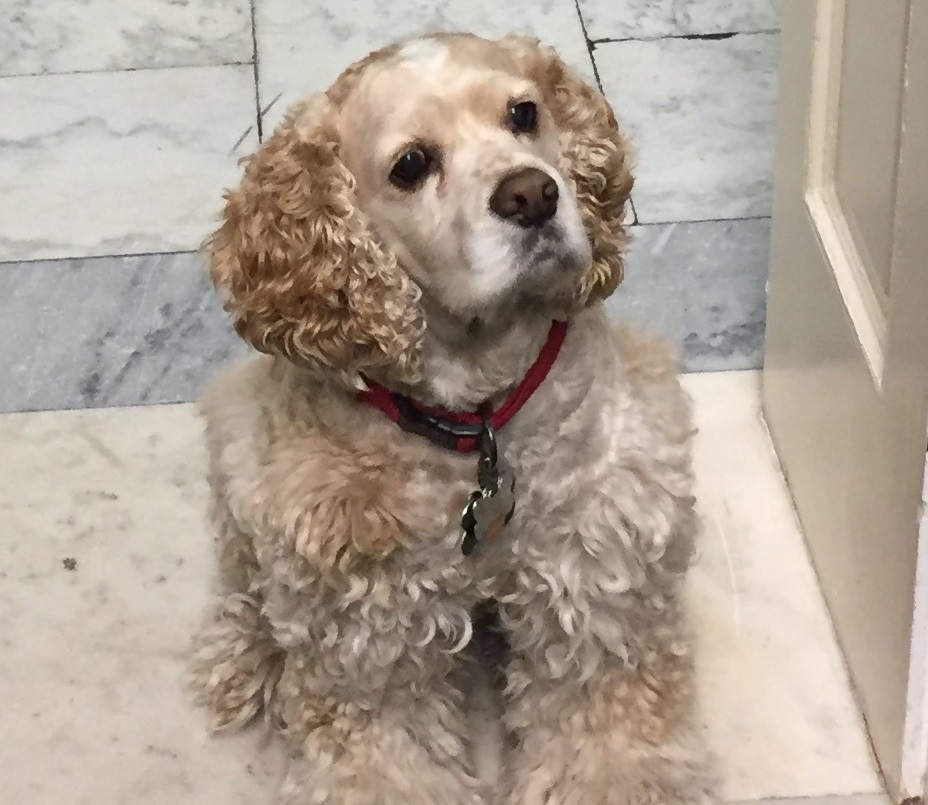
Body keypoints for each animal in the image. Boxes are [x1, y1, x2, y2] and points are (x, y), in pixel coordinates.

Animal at [192, 31, 716, 804]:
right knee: (244, 580)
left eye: (524, 114)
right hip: (239, 438)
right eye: (411, 165)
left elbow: (600, 708)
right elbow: (384, 740)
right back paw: (245, 657)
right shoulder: (361, 612)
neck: (478, 415)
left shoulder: (597, 561)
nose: (533, 194)